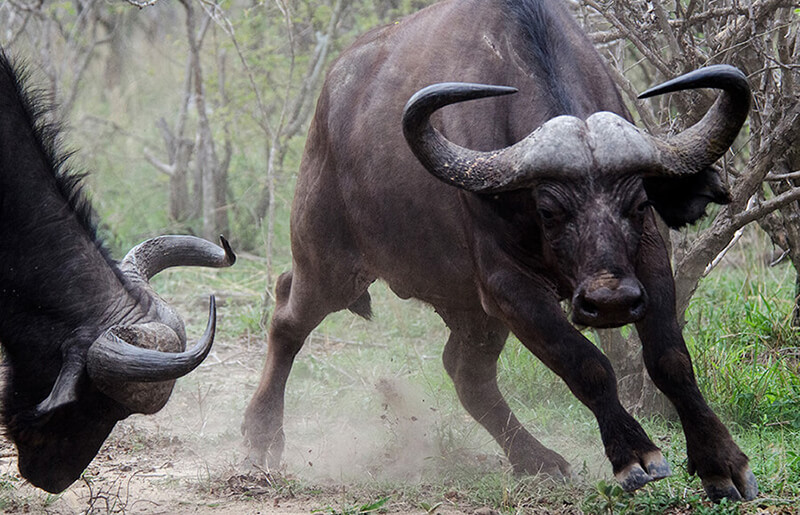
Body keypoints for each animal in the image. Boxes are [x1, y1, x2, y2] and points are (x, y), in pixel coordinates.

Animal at [241, 0, 755, 502]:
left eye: (640, 203)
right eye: (548, 210)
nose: (610, 302)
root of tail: (329, 103)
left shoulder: (646, 263)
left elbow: (671, 359)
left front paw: (721, 461)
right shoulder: (509, 286)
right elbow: (587, 364)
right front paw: (633, 453)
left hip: (468, 308)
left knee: (467, 373)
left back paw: (535, 458)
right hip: (327, 263)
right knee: (286, 317)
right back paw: (260, 437)